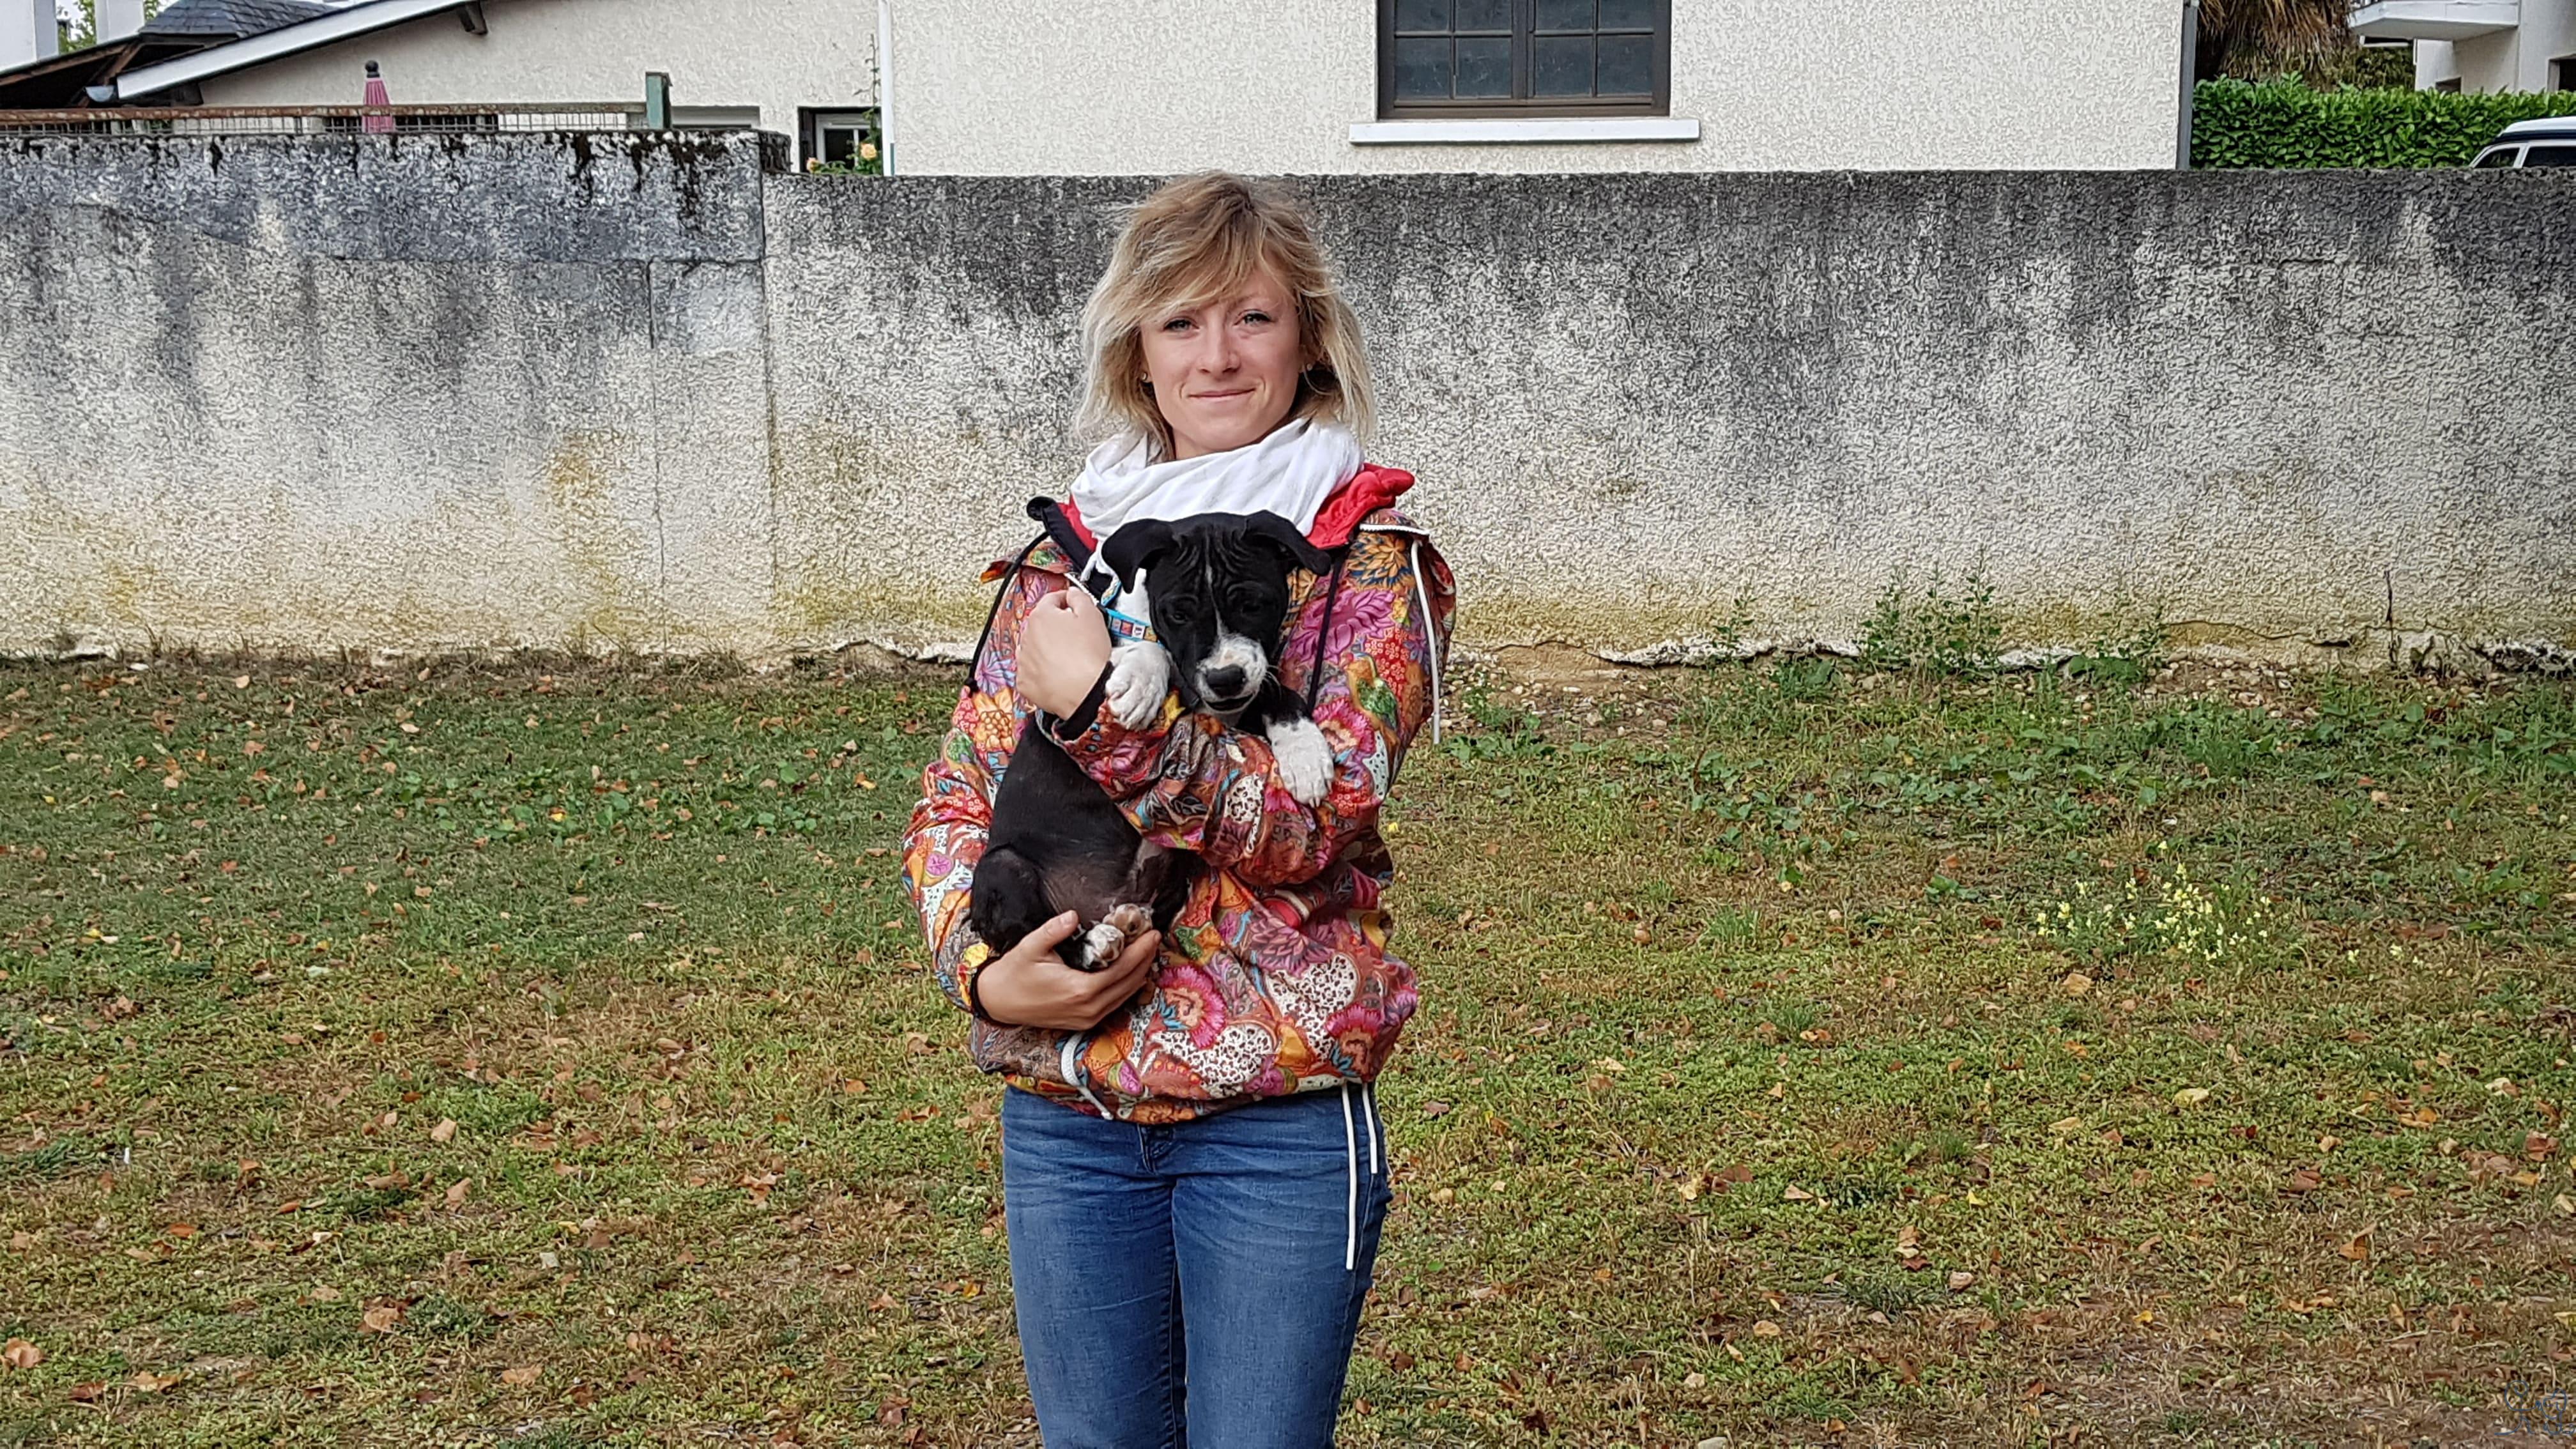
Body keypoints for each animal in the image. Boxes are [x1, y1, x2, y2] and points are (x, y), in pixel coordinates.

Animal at [963, 508, 1329, 969]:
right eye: (1178, 613)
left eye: (1253, 604)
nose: (1224, 678)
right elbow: (1144, 652)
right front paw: (1141, 682)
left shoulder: (1247, 691)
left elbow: (1278, 692)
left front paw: (1306, 755)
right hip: (1004, 867)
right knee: (1039, 936)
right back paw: (1093, 943)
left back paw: (1130, 922)